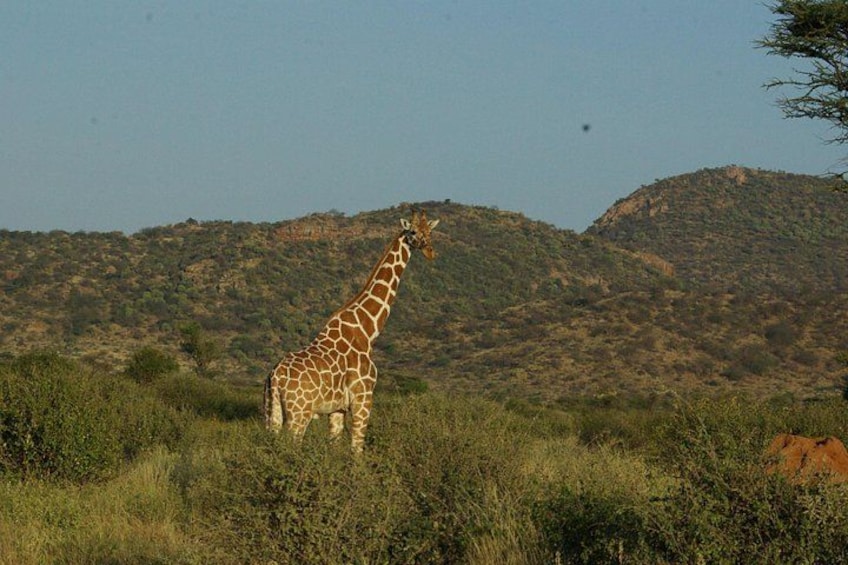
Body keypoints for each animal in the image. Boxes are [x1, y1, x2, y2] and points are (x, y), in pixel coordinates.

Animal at [264, 210, 439, 452]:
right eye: (412, 231)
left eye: (430, 231)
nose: (430, 251)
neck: (368, 330)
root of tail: (275, 377)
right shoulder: (363, 398)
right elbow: (357, 449)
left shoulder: (337, 408)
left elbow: (335, 445)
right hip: (299, 412)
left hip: (271, 411)